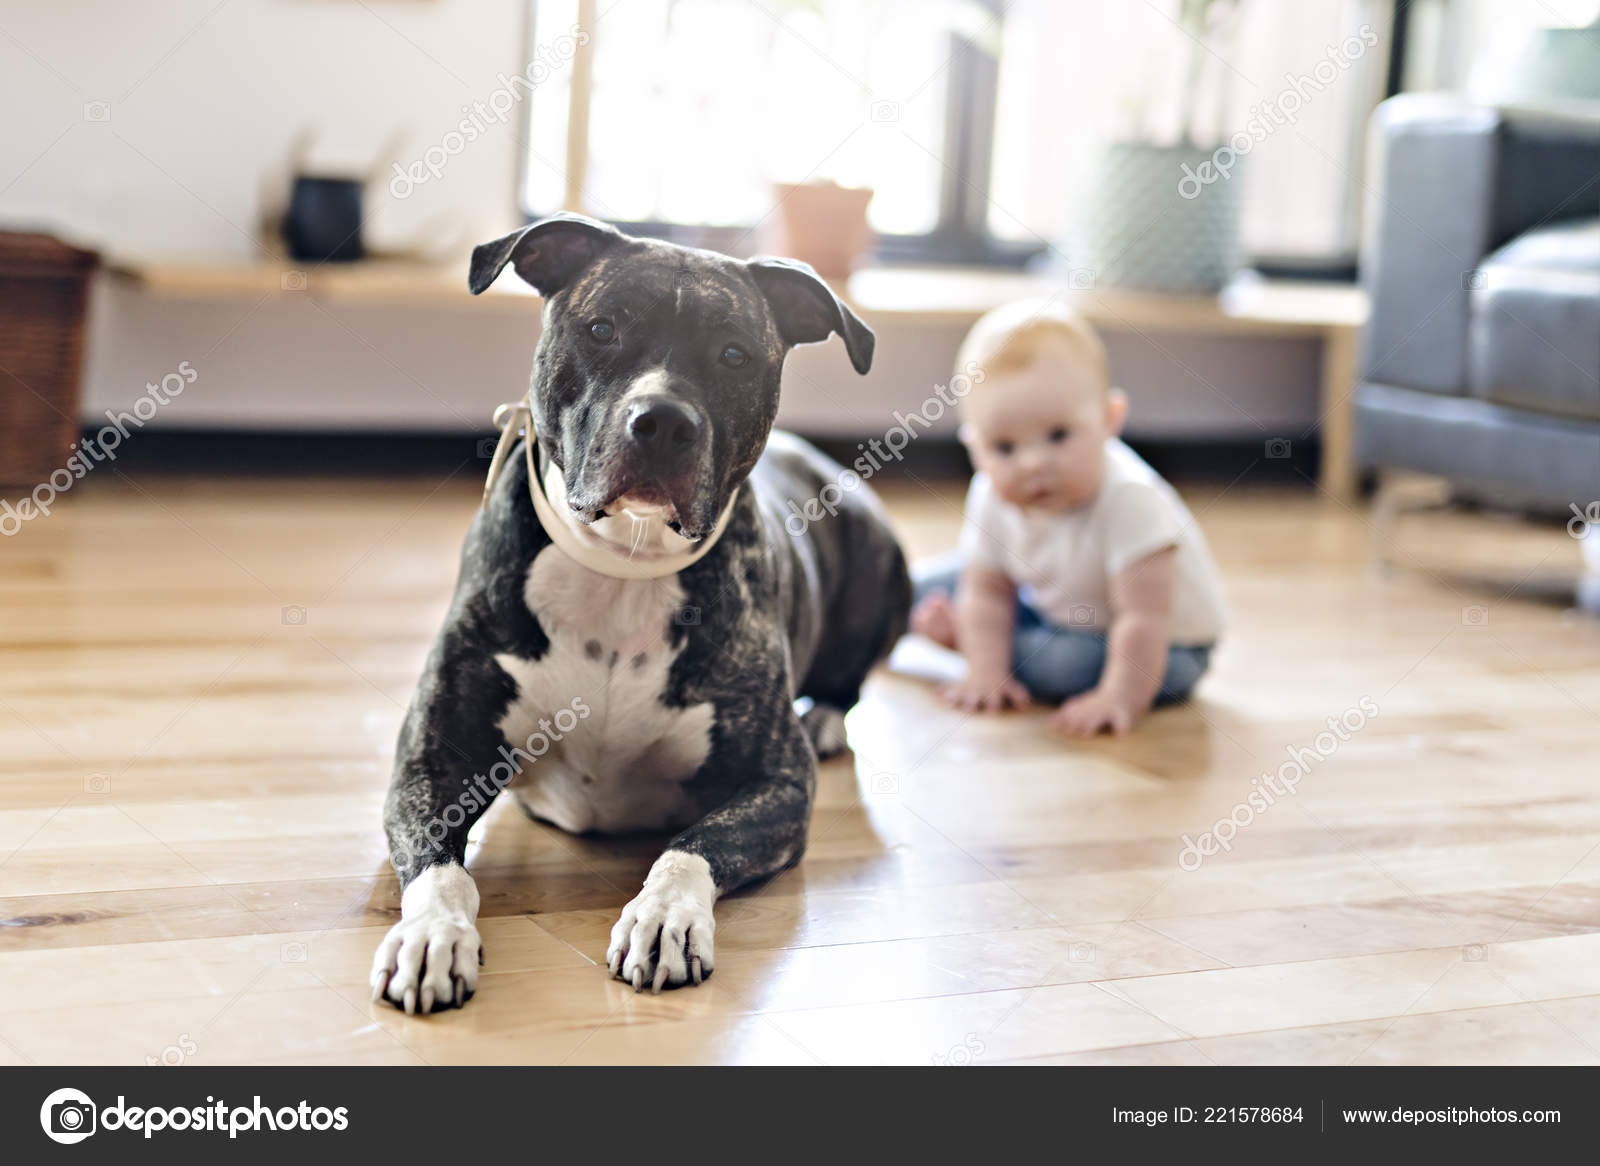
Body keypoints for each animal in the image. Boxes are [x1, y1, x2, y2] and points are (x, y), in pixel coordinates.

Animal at [366, 211, 908, 1010]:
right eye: (601, 328)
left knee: (850, 677)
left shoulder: (777, 785)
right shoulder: (431, 764)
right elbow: (440, 868)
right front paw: (434, 933)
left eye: (735, 354)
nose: (664, 420)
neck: (624, 559)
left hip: (879, 558)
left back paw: (828, 718)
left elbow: (691, 847)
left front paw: (665, 918)